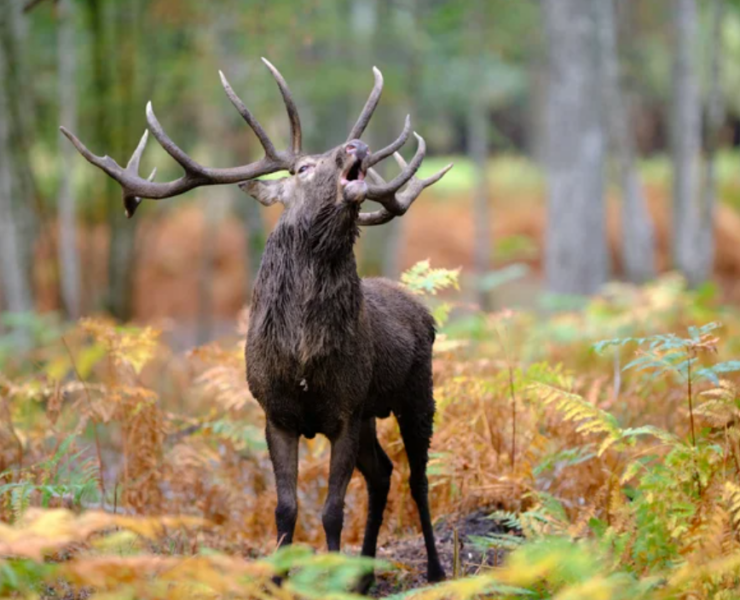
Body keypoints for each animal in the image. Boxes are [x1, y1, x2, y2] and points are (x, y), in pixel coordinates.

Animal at [60, 58, 452, 587]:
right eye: (303, 168)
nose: (358, 147)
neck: (302, 360)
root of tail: (422, 312)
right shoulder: (276, 414)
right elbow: (285, 509)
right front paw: (279, 578)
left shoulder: (344, 412)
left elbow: (331, 511)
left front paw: (330, 580)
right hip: (373, 410)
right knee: (383, 473)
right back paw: (366, 576)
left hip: (416, 393)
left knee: (418, 478)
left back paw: (434, 569)